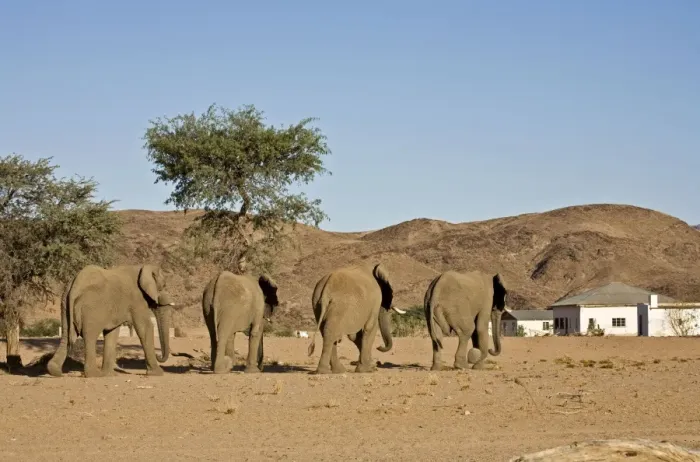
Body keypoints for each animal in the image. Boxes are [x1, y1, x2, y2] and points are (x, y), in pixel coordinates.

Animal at [46, 264, 177, 378]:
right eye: (163, 285)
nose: (159, 355)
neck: (142, 267)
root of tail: (76, 285)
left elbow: (112, 332)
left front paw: (109, 375)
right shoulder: (137, 299)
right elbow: (145, 327)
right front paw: (158, 373)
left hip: (65, 303)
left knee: (66, 335)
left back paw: (55, 371)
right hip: (91, 308)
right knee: (90, 336)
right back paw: (94, 375)